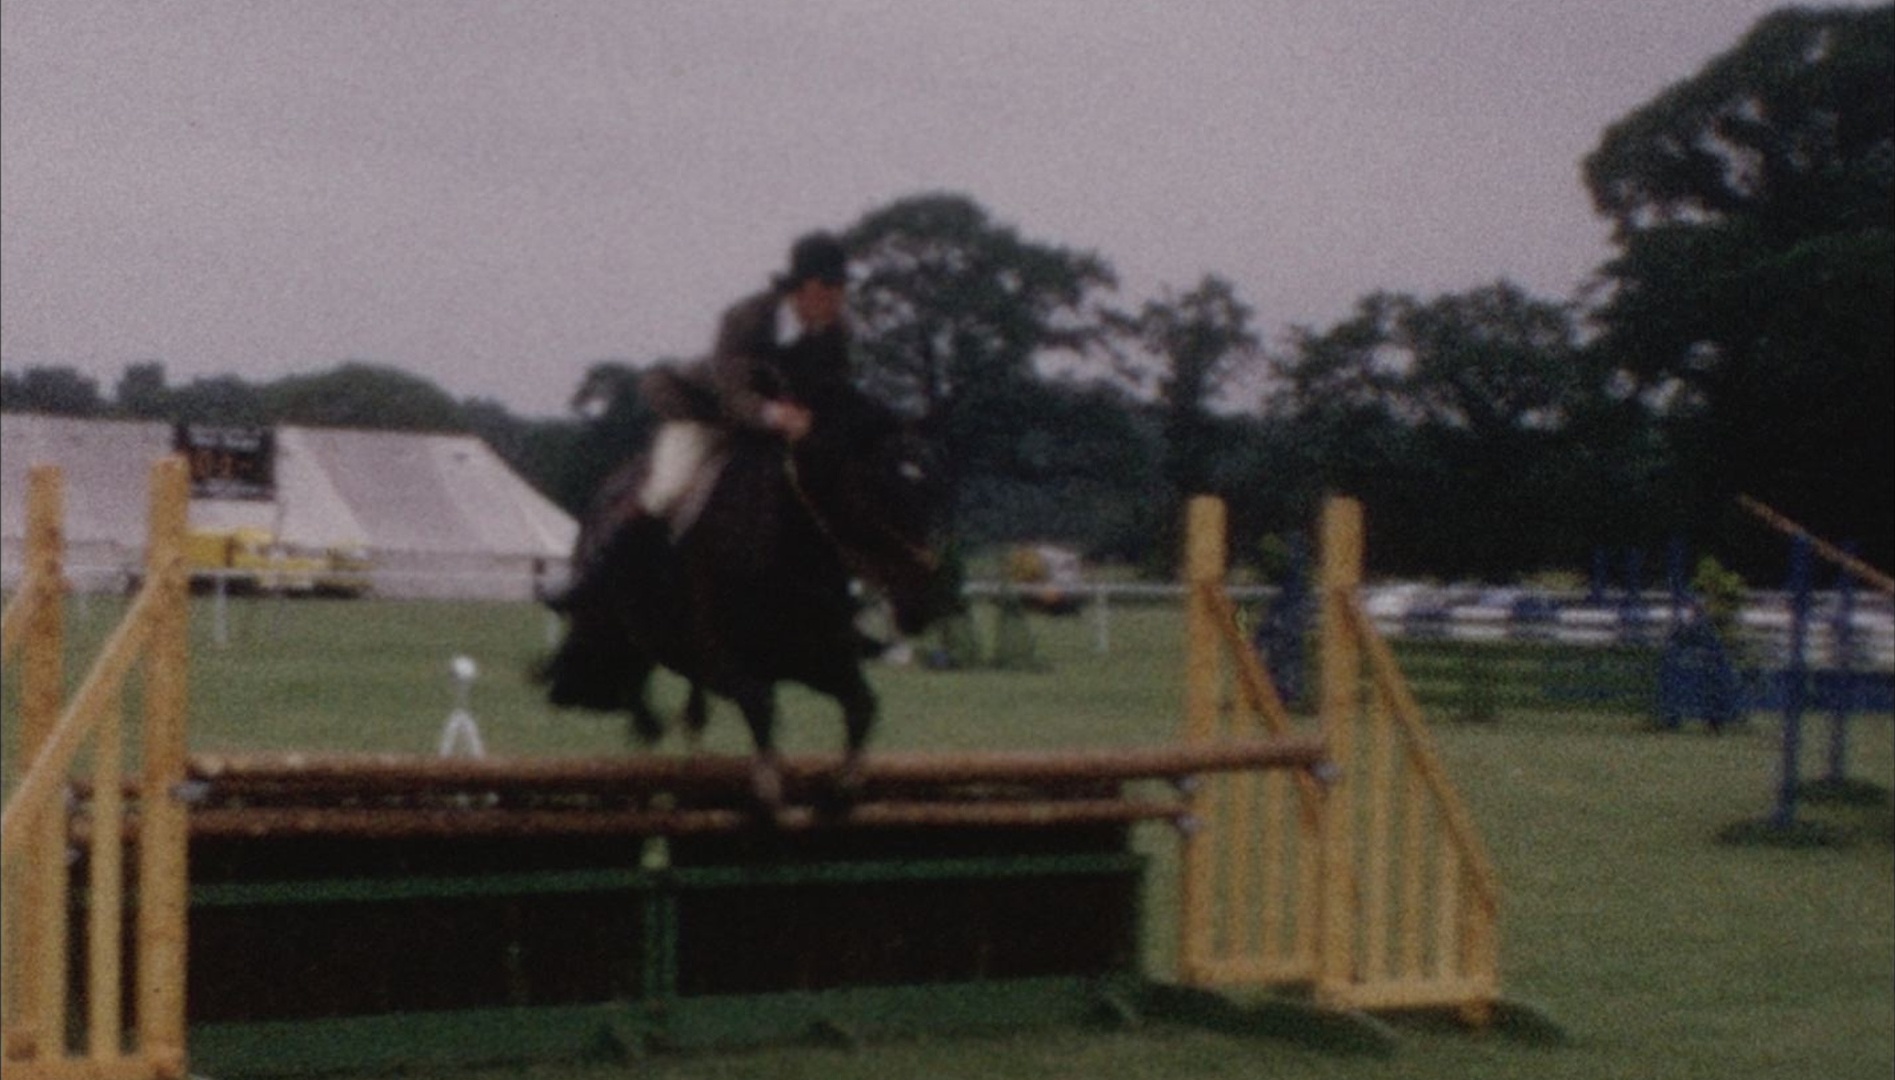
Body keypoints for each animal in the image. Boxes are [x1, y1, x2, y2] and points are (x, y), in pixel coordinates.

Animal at [537, 385, 947, 809]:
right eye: (879, 490)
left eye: (935, 488)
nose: (926, 602)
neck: (787, 550)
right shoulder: (725, 663)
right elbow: (761, 704)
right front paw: (770, 787)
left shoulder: (819, 659)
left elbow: (862, 704)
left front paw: (844, 785)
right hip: (609, 619)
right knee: (607, 656)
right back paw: (636, 717)